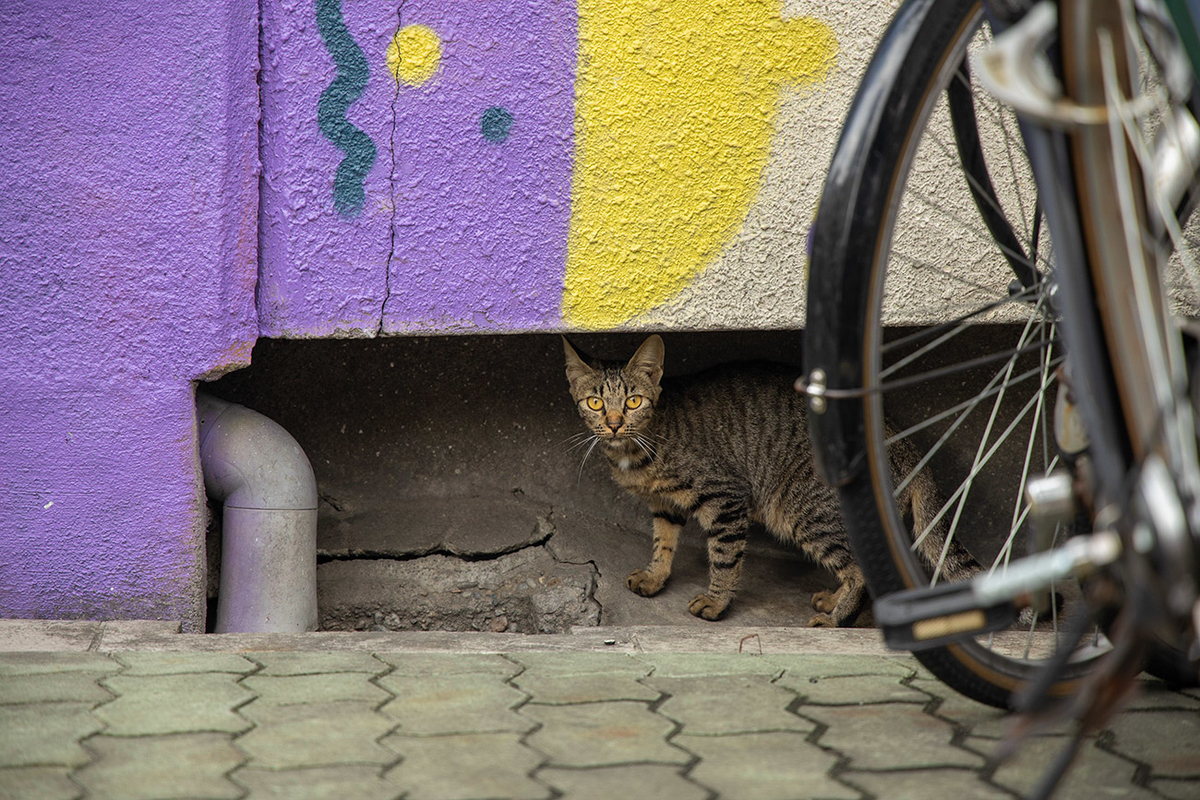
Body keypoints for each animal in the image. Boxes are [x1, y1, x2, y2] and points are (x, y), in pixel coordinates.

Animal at [559, 331, 974, 623]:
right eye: (595, 402)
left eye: (633, 401)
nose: (615, 423)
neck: (637, 450)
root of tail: (907, 445)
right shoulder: (664, 504)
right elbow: (663, 543)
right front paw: (654, 576)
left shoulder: (726, 497)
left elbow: (724, 558)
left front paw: (716, 602)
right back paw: (832, 602)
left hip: (805, 510)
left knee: (860, 570)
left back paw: (836, 620)